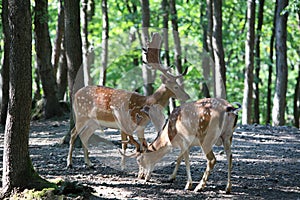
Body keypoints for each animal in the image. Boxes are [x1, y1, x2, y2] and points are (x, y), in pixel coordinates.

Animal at [67, 33, 190, 169]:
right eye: (176, 86)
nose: (187, 96)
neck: (145, 102)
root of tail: (75, 94)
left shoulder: (141, 127)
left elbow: (140, 144)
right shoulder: (124, 123)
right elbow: (125, 144)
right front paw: (123, 166)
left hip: (93, 122)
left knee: (84, 136)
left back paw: (89, 163)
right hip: (81, 115)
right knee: (73, 134)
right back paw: (69, 163)